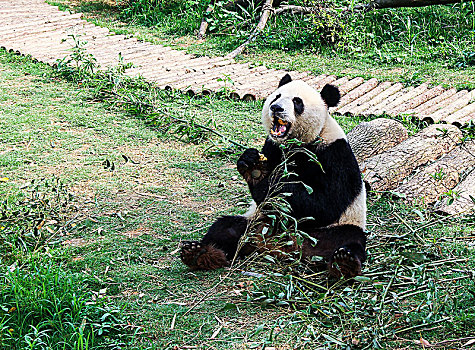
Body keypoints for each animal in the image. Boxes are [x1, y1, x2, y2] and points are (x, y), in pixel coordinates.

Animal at [180, 74, 370, 278]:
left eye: (297, 102)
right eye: (276, 96)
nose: (276, 108)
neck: (296, 143)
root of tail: (278, 247)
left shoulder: (334, 154)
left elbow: (325, 203)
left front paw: (269, 181)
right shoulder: (272, 146)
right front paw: (253, 166)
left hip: (334, 229)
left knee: (348, 241)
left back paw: (344, 263)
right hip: (257, 221)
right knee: (226, 229)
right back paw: (199, 254)